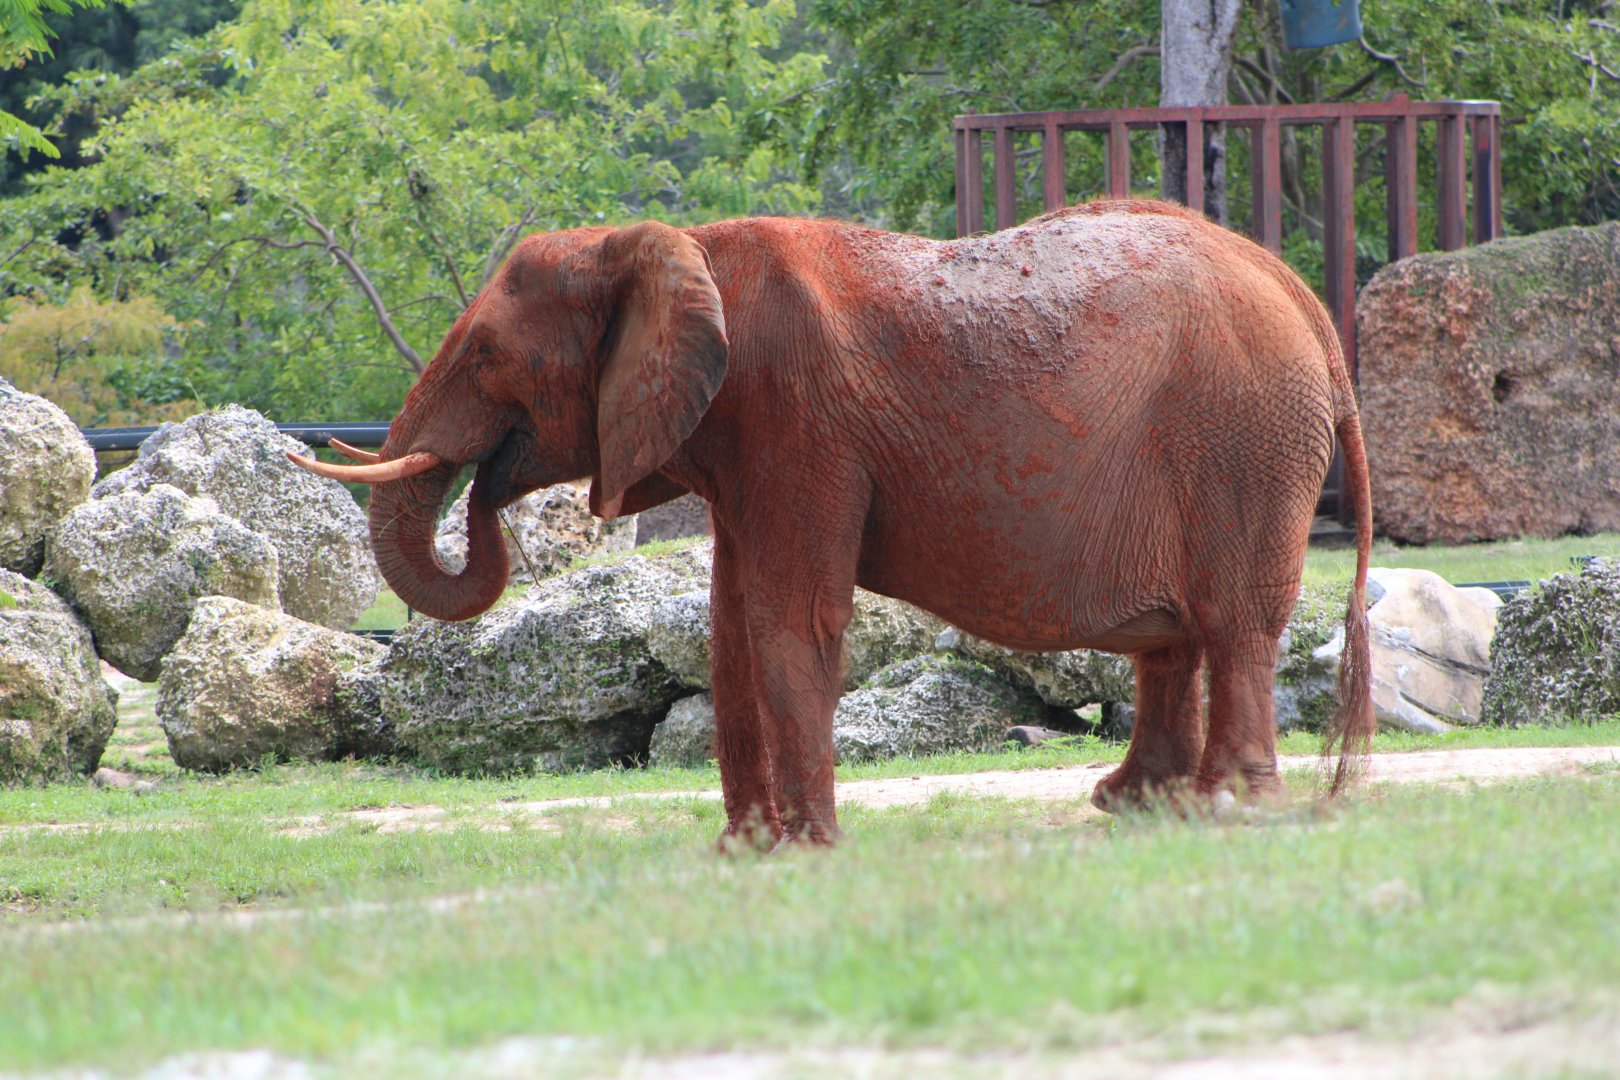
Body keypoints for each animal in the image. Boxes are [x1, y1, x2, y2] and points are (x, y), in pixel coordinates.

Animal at [292, 198, 1374, 847]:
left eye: (485, 357)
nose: (482, 487)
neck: (678, 246)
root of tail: (1306, 304)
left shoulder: (795, 420)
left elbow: (789, 621)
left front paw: (805, 849)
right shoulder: (741, 446)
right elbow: (729, 633)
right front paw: (746, 851)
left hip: (1242, 442)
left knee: (1233, 624)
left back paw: (1230, 808)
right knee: (1177, 639)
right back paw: (1140, 808)